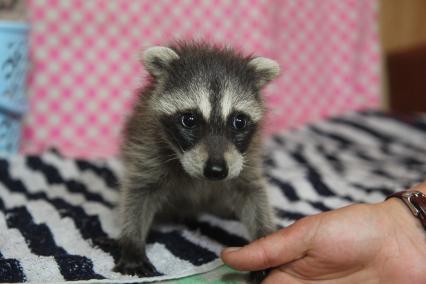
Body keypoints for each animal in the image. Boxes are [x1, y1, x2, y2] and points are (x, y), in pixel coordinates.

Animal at [115, 42, 280, 280]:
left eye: (239, 121)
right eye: (189, 119)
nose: (216, 170)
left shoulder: (246, 156)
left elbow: (253, 193)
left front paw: (264, 240)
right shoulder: (147, 146)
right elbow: (138, 193)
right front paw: (133, 242)